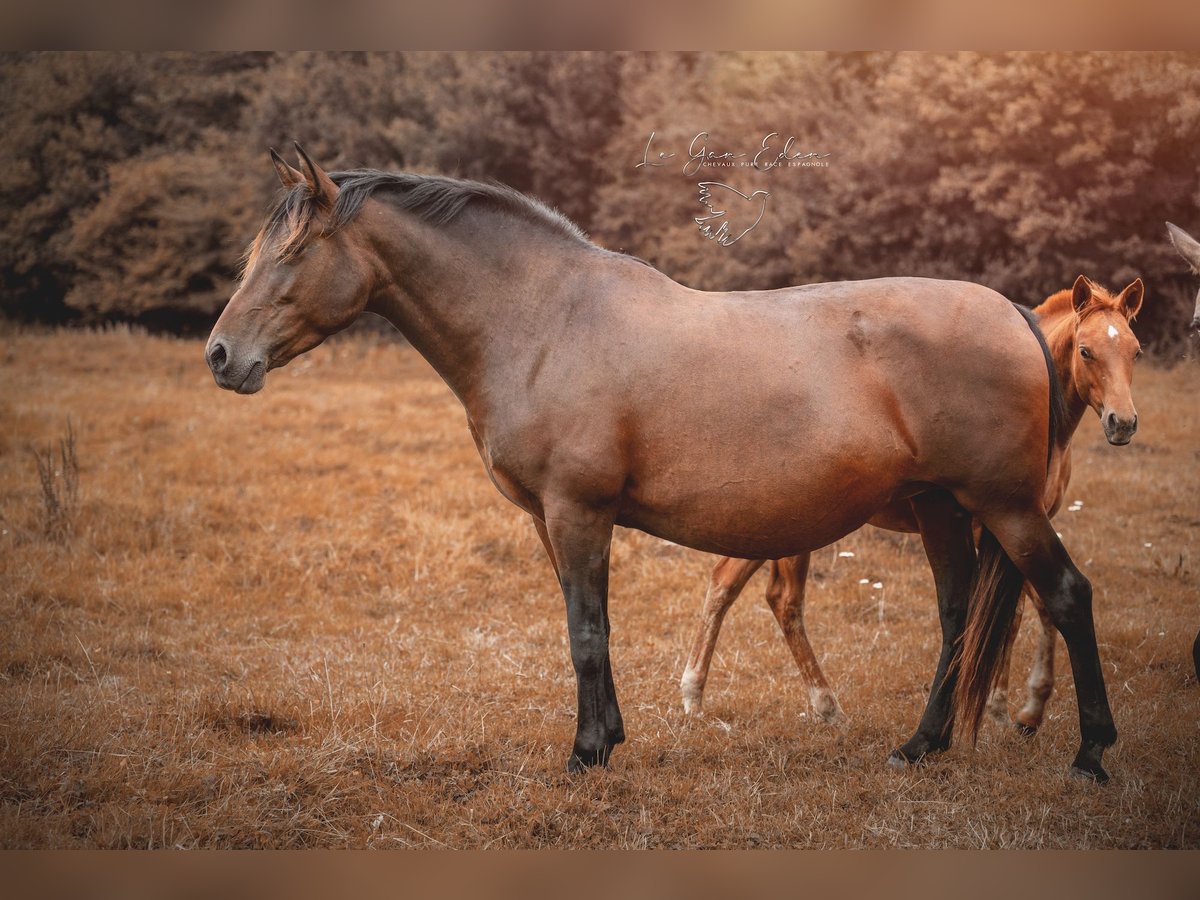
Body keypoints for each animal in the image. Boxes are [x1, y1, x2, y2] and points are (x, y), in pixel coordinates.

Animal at [686, 278, 1142, 734]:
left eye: (1135, 351)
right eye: (1086, 351)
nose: (1122, 423)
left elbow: (1016, 612)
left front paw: (1013, 705)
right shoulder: (1001, 521)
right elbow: (1021, 612)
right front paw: (1013, 706)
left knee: (738, 588)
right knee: (767, 596)